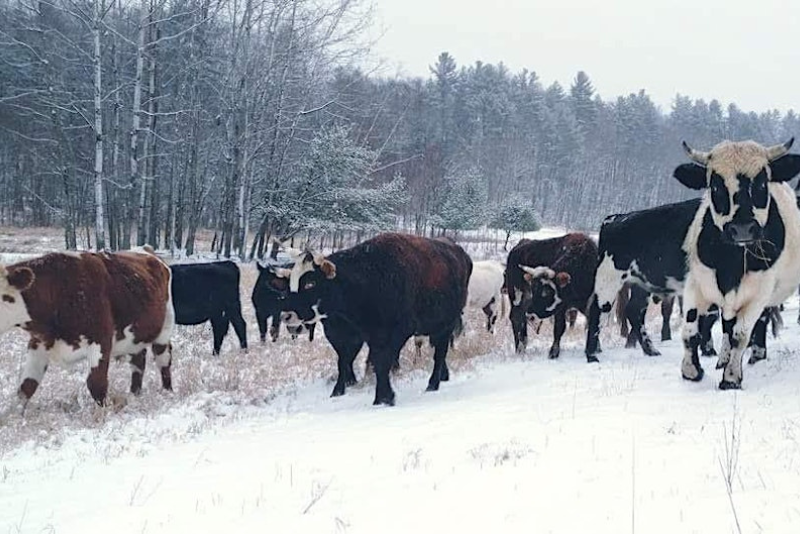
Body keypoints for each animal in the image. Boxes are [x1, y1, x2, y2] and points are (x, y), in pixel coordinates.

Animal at [0, 248, 174, 406]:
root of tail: (147, 250)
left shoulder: (101, 340)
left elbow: (96, 384)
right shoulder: (39, 343)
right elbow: (26, 387)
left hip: (165, 329)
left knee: (163, 360)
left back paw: (167, 392)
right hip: (136, 337)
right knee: (138, 362)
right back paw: (134, 394)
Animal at [276, 233, 472, 406]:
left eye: (310, 283)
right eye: (290, 282)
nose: (287, 316)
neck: (370, 279)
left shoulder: (396, 332)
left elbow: (382, 363)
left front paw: (384, 398)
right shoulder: (362, 335)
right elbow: (348, 361)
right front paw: (342, 391)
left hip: (445, 324)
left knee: (440, 353)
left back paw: (433, 384)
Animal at [674, 138, 800, 389]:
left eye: (762, 183)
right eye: (714, 186)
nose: (742, 229)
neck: (730, 264)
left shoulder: (759, 293)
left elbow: (740, 335)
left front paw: (731, 378)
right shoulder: (696, 282)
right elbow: (690, 329)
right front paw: (691, 371)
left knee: (756, 323)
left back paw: (756, 354)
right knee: (727, 323)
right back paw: (724, 358)